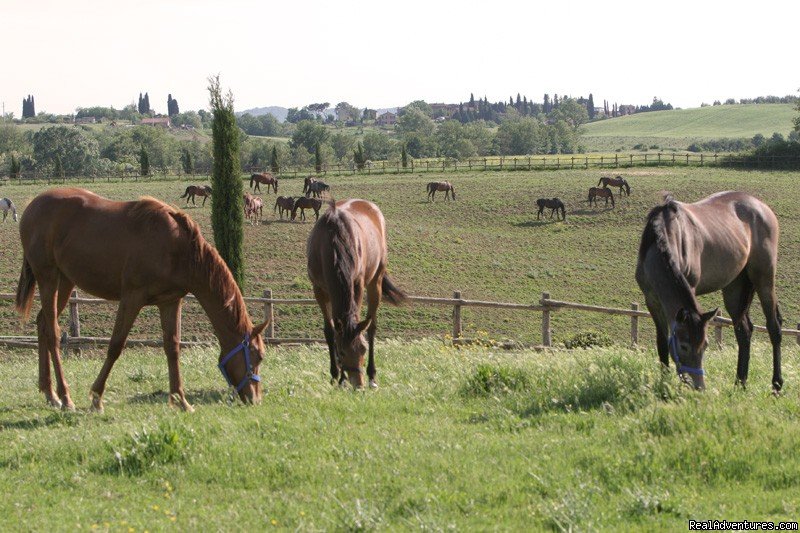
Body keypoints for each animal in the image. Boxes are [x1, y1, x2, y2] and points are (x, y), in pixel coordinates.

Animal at [14, 188, 270, 412]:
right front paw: (96, 398)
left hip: (65, 281)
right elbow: (116, 346)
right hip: (48, 277)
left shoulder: (170, 301)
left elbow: (172, 347)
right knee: (53, 333)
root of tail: (33, 205)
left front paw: (181, 400)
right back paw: (65, 397)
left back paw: (49, 393)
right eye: (257, 355)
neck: (178, 248)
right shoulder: (132, 298)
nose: (255, 398)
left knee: (43, 324)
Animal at [306, 198, 406, 386]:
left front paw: (343, 378)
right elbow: (330, 331)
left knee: (372, 327)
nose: (358, 384)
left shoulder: (357, 284)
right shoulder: (319, 290)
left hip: (375, 282)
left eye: (363, 349)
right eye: (341, 352)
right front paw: (336, 376)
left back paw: (372, 376)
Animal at [636, 191, 784, 390]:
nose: (698, 386)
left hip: (764, 279)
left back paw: (776, 384)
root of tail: (762, 206)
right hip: (734, 288)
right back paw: (740, 383)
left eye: (705, 345)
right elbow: (662, 343)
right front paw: (664, 385)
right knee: (744, 331)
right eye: (684, 345)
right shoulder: (652, 301)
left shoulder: (690, 288)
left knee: (774, 327)